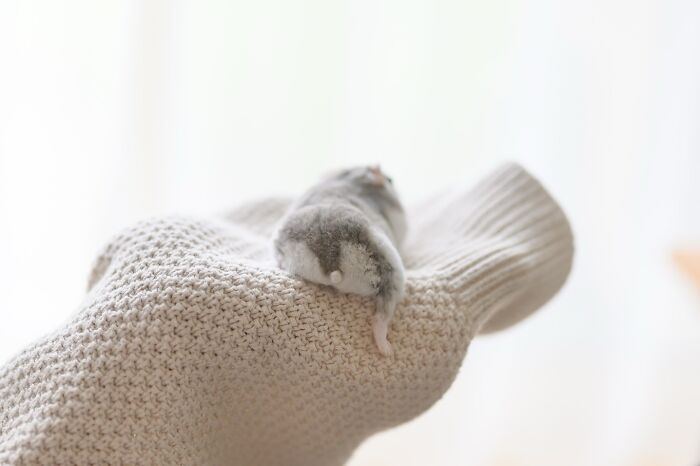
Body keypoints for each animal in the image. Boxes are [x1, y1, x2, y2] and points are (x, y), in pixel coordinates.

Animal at [273, 165, 407, 356]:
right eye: (390, 180)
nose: (389, 179)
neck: (349, 178)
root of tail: (331, 260)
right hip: (392, 270)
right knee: (382, 317)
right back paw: (388, 350)